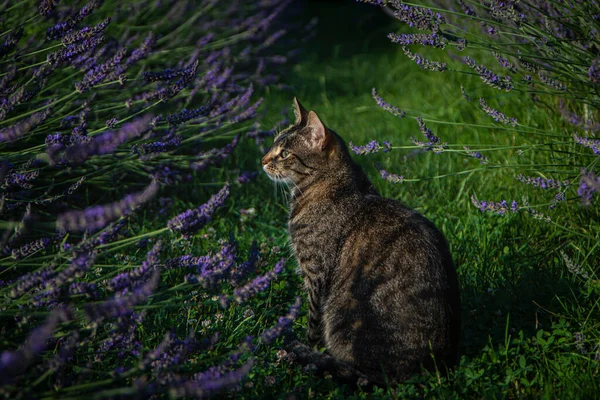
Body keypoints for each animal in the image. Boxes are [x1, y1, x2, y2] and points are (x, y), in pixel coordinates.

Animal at [260, 97, 462, 384]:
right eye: (273, 145)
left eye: (285, 153)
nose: (262, 160)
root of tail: (432, 367)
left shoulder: (315, 273)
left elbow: (312, 323)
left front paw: (309, 348)